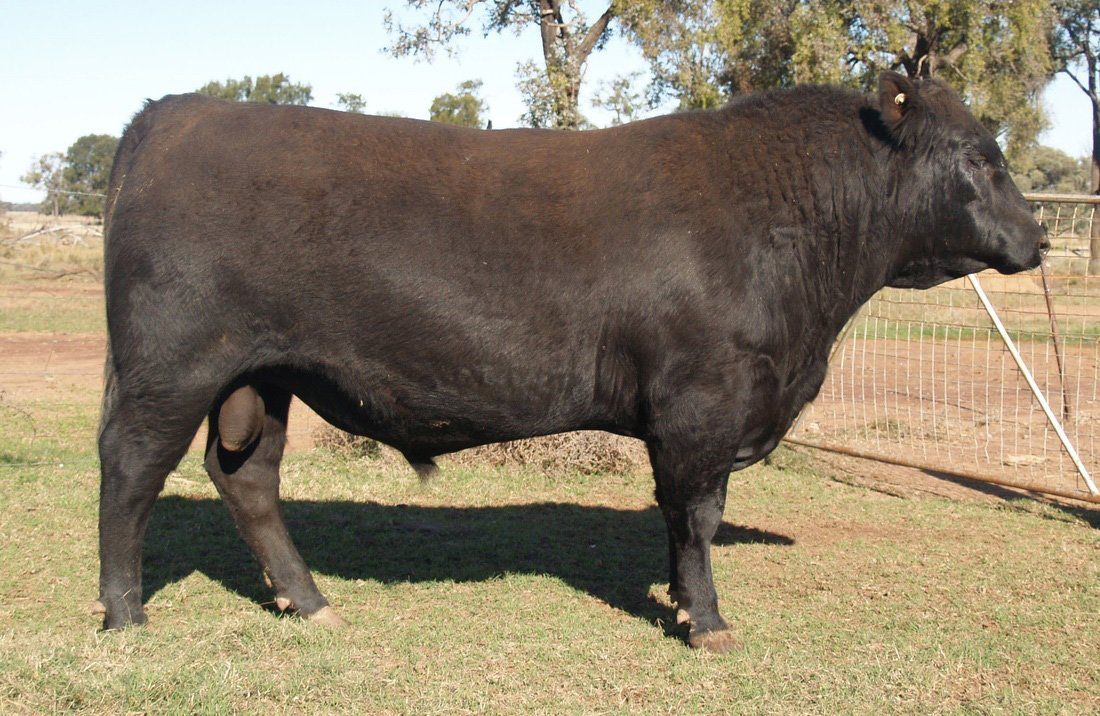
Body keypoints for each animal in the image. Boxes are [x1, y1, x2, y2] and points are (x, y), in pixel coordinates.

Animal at [95, 71, 1047, 651]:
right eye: (978, 156)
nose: (1038, 238)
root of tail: (172, 111)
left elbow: (683, 518)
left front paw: (680, 602)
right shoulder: (702, 401)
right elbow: (697, 516)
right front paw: (706, 620)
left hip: (263, 377)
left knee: (248, 479)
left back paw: (311, 601)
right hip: (169, 368)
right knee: (130, 471)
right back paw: (125, 613)